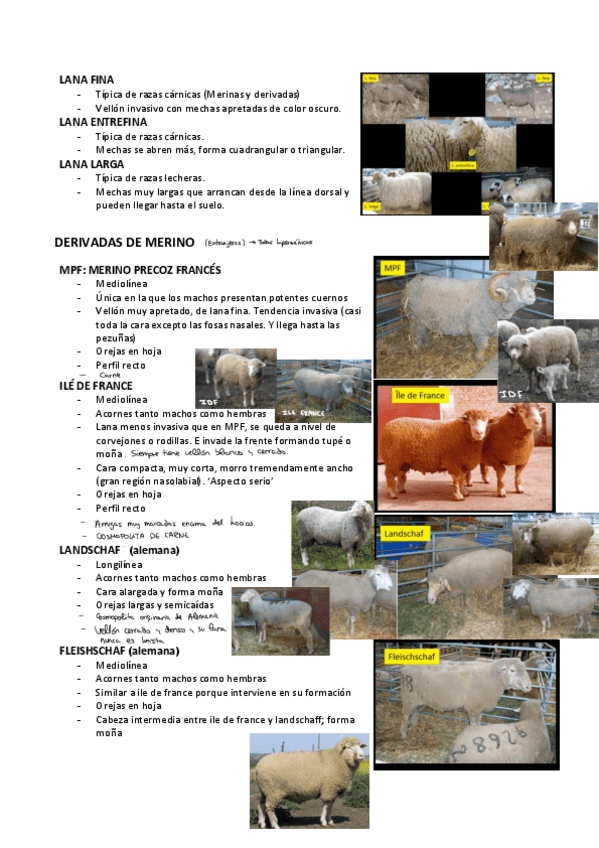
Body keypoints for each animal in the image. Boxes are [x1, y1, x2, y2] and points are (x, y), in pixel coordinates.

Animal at [398, 658, 532, 738]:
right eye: (512, 670)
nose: (529, 686)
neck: (491, 677)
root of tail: (404, 667)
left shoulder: (479, 707)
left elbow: (479, 721)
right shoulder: (473, 707)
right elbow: (473, 723)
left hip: (416, 698)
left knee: (415, 711)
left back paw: (414, 723)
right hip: (408, 697)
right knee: (405, 715)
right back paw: (403, 733)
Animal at [404, 272, 537, 360]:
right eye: (510, 287)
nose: (532, 297)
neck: (489, 300)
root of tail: (413, 281)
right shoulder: (478, 330)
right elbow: (482, 346)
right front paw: (480, 358)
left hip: (424, 318)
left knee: (424, 331)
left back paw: (426, 342)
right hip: (415, 318)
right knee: (416, 334)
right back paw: (416, 348)